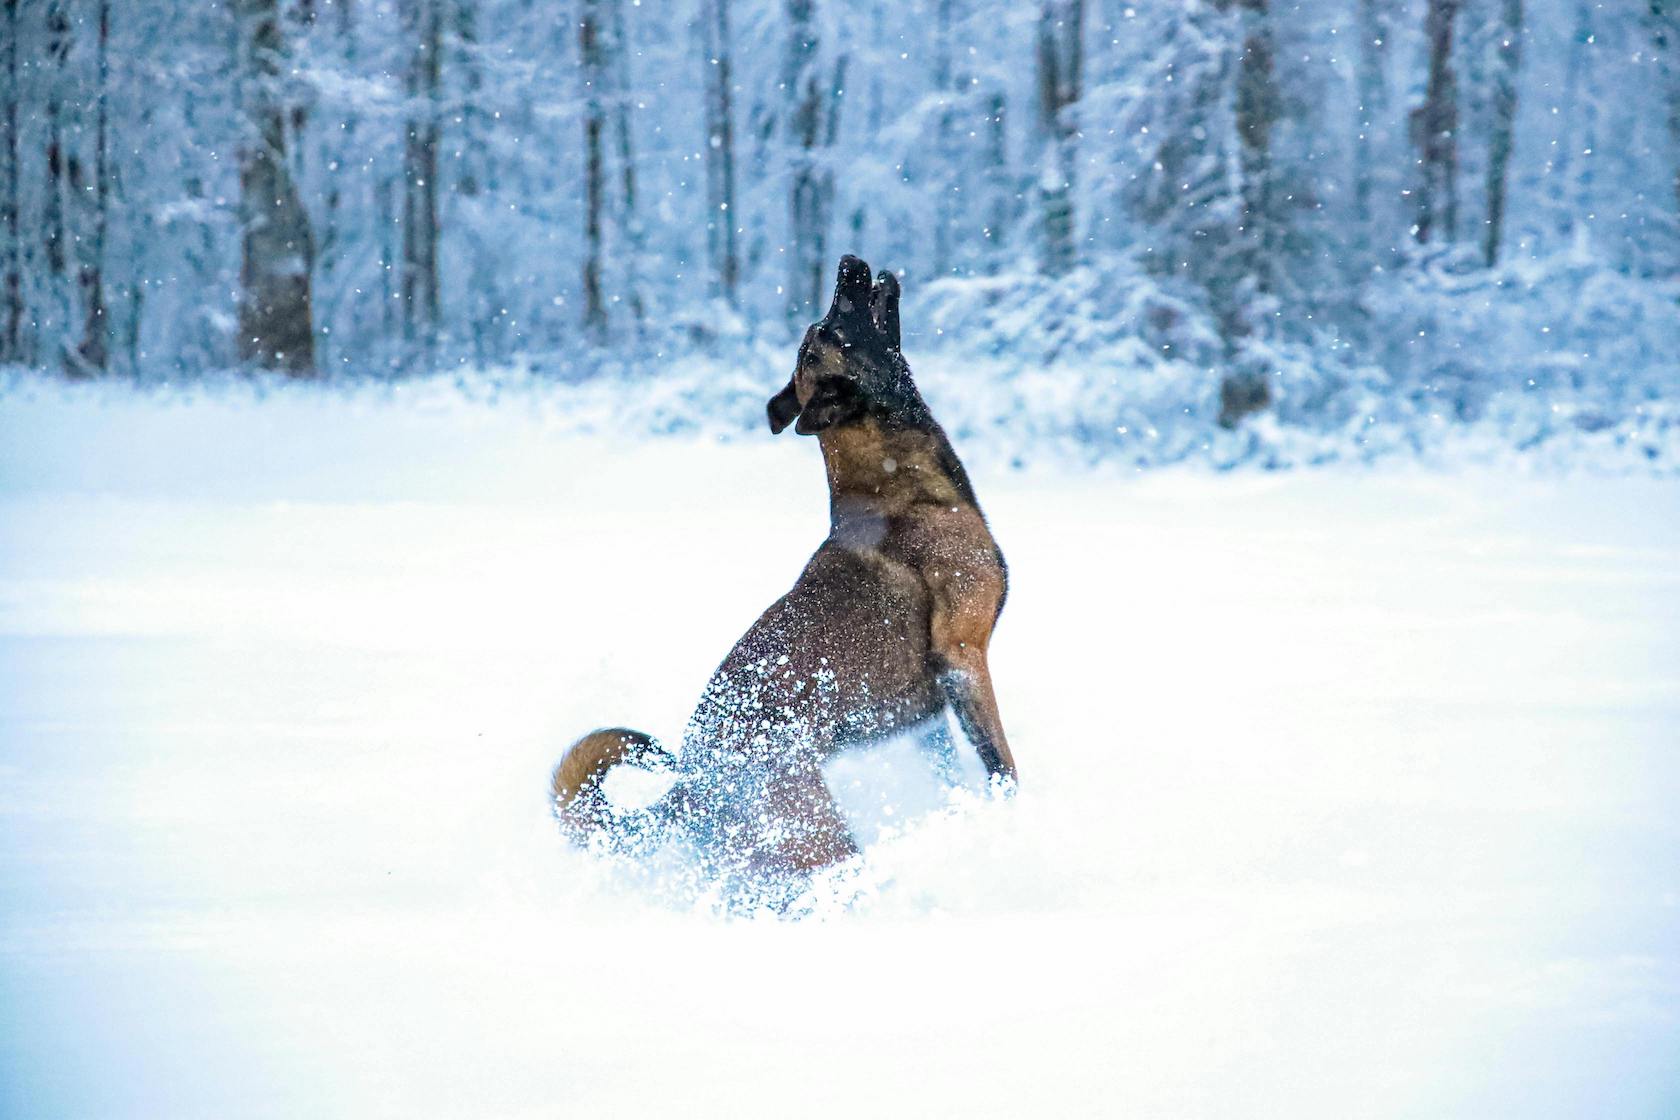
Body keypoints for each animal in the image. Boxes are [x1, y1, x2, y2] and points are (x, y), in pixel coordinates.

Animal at [557, 253, 1014, 886]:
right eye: (832, 325)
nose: (849, 262)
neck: (899, 487)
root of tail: (689, 789)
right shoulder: (964, 657)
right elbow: (1003, 765)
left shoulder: (930, 718)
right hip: (820, 838)